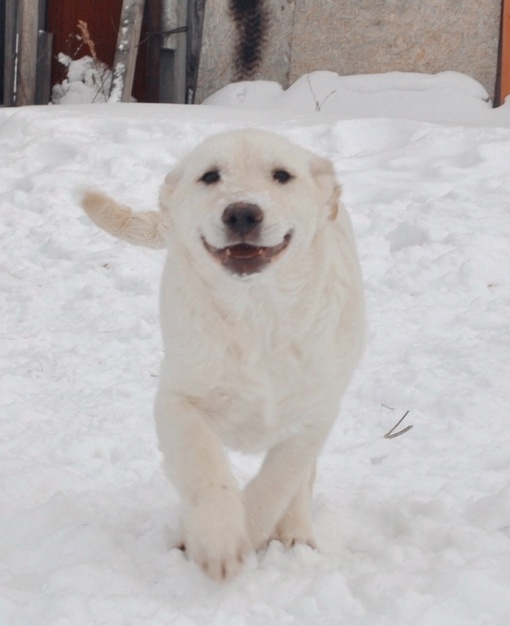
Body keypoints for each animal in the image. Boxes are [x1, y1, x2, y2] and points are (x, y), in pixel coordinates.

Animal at [81, 129, 364, 584]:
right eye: (210, 176)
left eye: (282, 175)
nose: (242, 213)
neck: (255, 314)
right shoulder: (177, 400)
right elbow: (203, 469)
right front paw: (217, 542)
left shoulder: (315, 414)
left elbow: (278, 481)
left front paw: (248, 531)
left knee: (302, 481)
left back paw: (296, 534)